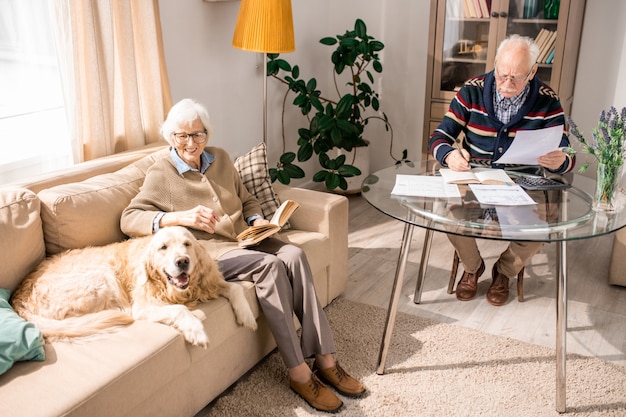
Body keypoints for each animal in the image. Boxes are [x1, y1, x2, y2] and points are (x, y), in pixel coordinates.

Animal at [10, 226, 254, 346]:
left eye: (187, 244)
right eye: (163, 247)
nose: (182, 262)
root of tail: (17, 298)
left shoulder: (208, 282)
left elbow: (235, 288)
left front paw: (247, 316)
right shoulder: (142, 306)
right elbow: (179, 309)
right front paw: (196, 330)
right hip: (102, 275)